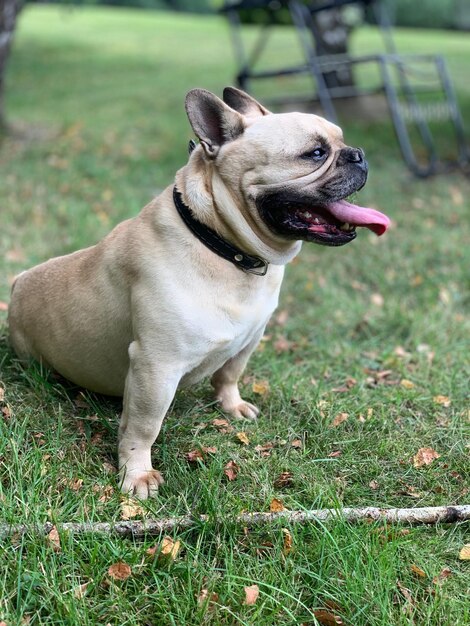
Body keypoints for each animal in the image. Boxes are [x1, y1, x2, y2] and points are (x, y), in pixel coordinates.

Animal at [7, 88, 392, 498]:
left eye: (341, 140)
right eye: (315, 153)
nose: (358, 154)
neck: (225, 247)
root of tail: (17, 283)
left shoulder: (249, 340)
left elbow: (229, 375)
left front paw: (232, 406)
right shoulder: (156, 367)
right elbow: (143, 426)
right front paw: (136, 474)